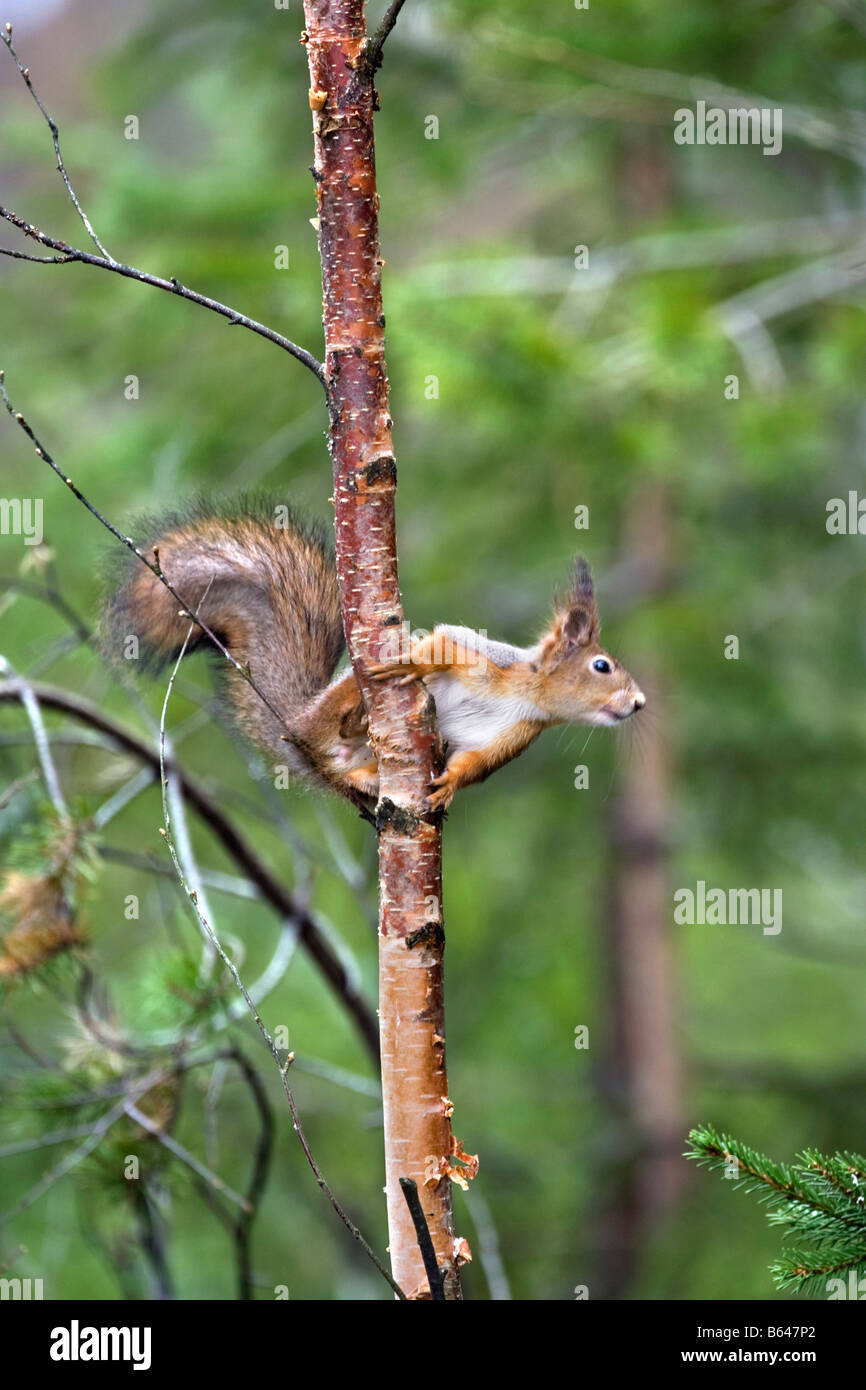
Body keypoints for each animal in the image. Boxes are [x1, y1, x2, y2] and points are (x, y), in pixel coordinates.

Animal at [103, 500, 645, 812]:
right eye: (601, 666)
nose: (639, 703)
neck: (528, 695)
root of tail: (296, 727)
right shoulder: (487, 657)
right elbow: (442, 644)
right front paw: (413, 664)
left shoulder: (510, 738)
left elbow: (472, 764)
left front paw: (449, 785)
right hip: (332, 712)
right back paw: (355, 718)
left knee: (351, 777)